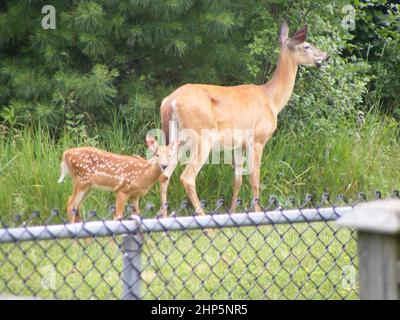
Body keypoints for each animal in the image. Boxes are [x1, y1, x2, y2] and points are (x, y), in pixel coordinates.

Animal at [158, 21, 330, 216]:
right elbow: (255, 179)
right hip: (202, 136)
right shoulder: (257, 139)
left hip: (178, 137)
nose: (326, 55)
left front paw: (232, 212)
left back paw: (164, 217)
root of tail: (170, 101)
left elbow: (238, 180)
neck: (271, 99)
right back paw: (202, 217)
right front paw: (257, 212)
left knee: (165, 174)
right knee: (186, 177)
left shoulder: (239, 144)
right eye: (307, 45)